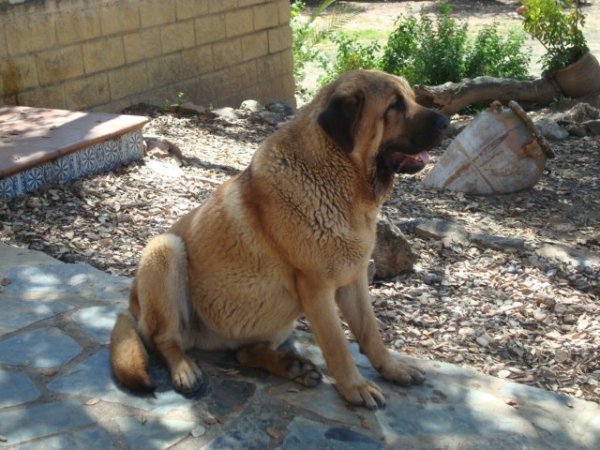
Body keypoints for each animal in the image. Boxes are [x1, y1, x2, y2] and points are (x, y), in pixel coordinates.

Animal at [110, 69, 448, 408]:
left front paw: (392, 369)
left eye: (412, 98)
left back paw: (290, 366)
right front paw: (355, 387)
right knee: (164, 340)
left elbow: (370, 332)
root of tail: (132, 308)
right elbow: (337, 344)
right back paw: (184, 368)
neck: (340, 183)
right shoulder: (317, 289)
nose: (446, 121)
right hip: (165, 249)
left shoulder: (354, 280)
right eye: (395, 105)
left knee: (244, 353)